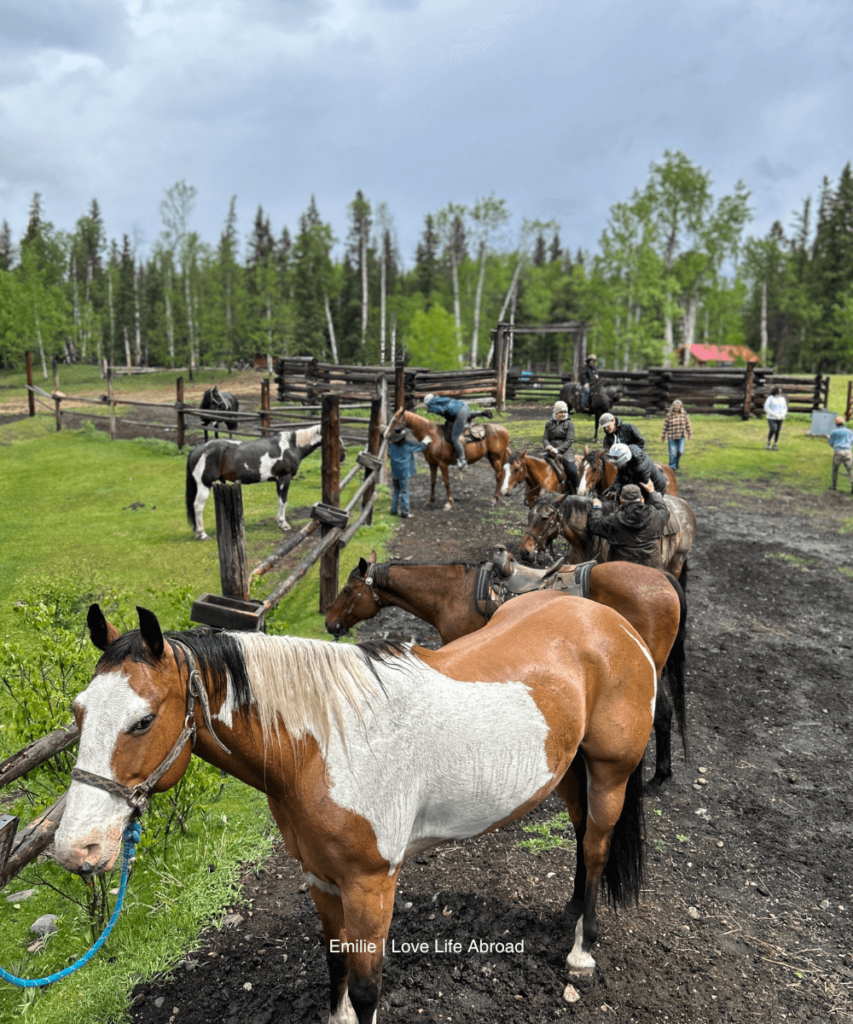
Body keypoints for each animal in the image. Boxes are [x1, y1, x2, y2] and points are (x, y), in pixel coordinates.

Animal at [56, 598, 655, 1019]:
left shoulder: (372, 884)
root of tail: (610, 621)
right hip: (570, 772)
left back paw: (581, 953)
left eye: (142, 720)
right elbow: (335, 964)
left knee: (596, 847)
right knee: (579, 836)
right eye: (78, 711)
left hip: (609, 773)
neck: (323, 746)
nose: (75, 848)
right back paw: (570, 915)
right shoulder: (322, 878)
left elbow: (366, 987)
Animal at [184, 421, 344, 540]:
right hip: (204, 485)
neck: (291, 446)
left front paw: (279, 521)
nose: (343, 455)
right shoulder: (284, 478)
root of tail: (197, 450)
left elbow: (279, 501)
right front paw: (284, 524)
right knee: (197, 506)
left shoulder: (278, 480)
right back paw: (202, 534)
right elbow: (283, 501)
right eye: (335, 437)